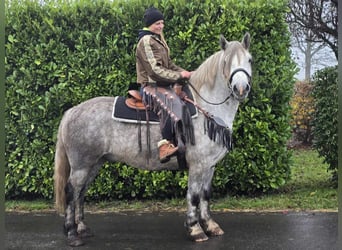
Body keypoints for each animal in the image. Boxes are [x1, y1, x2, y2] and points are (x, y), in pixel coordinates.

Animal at [52, 32, 251, 246]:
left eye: (249, 60)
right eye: (226, 62)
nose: (240, 89)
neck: (206, 108)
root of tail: (72, 111)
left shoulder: (209, 165)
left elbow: (205, 195)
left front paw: (210, 225)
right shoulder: (198, 165)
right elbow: (194, 196)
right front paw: (195, 229)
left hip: (94, 164)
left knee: (81, 192)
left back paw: (83, 228)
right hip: (81, 165)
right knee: (71, 192)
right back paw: (72, 233)